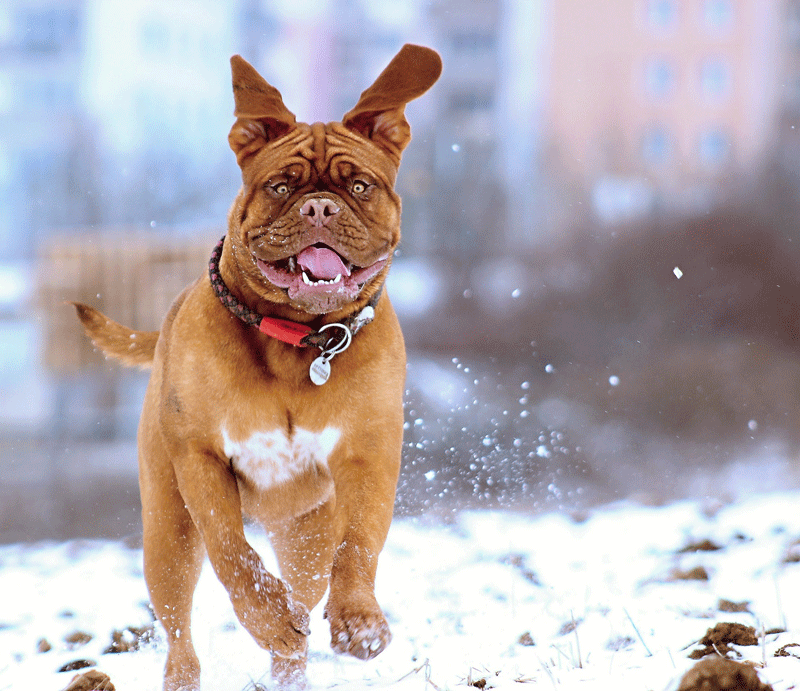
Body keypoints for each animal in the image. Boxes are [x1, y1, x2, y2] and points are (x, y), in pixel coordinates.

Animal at [72, 44, 440, 691]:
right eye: (281, 184)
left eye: (361, 185)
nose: (319, 206)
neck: (299, 340)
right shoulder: (200, 458)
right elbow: (230, 551)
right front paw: (268, 617)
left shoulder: (369, 454)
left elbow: (360, 542)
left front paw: (359, 622)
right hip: (166, 531)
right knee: (180, 626)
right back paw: (196, 669)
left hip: (305, 536)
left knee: (311, 583)